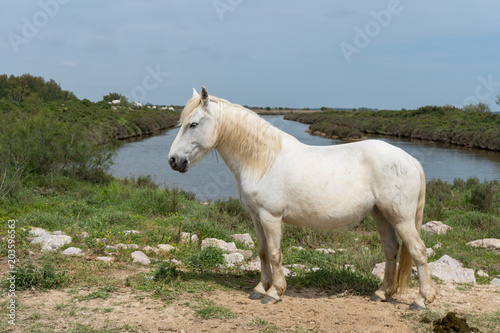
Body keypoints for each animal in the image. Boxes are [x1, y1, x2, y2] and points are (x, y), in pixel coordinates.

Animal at [168, 86, 434, 308]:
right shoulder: (256, 216)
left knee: (418, 250)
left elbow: (275, 253)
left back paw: (422, 300)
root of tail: (409, 159)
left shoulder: (271, 217)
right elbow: (262, 251)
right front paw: (259, 289)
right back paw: (381, 293)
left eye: (193, 124)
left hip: (400, 218)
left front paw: (274, 293)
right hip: (381, 214)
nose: (173, 161)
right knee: (391, 250)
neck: (262, 161)